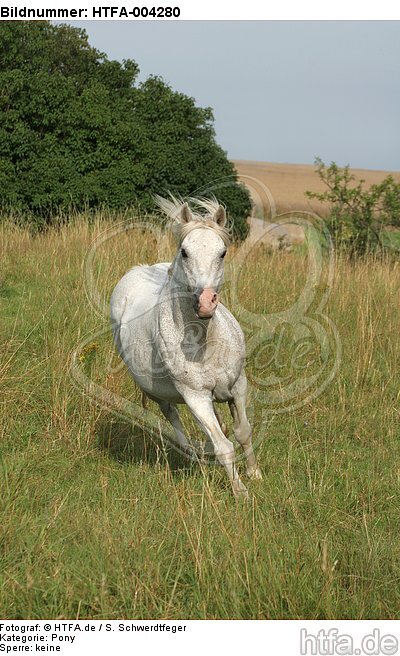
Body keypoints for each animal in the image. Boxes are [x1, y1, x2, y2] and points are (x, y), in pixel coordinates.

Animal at [110, 196, 262, 498]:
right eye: (185, 252)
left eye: (222, 252)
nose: (205, 303)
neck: (205, 342)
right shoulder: (195, 397)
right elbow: (224, 447)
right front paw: (240, 491)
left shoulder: (238, 384)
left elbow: (243, 432)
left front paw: (255, 474)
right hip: (158, 394)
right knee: (174, 419)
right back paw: (194, 458)